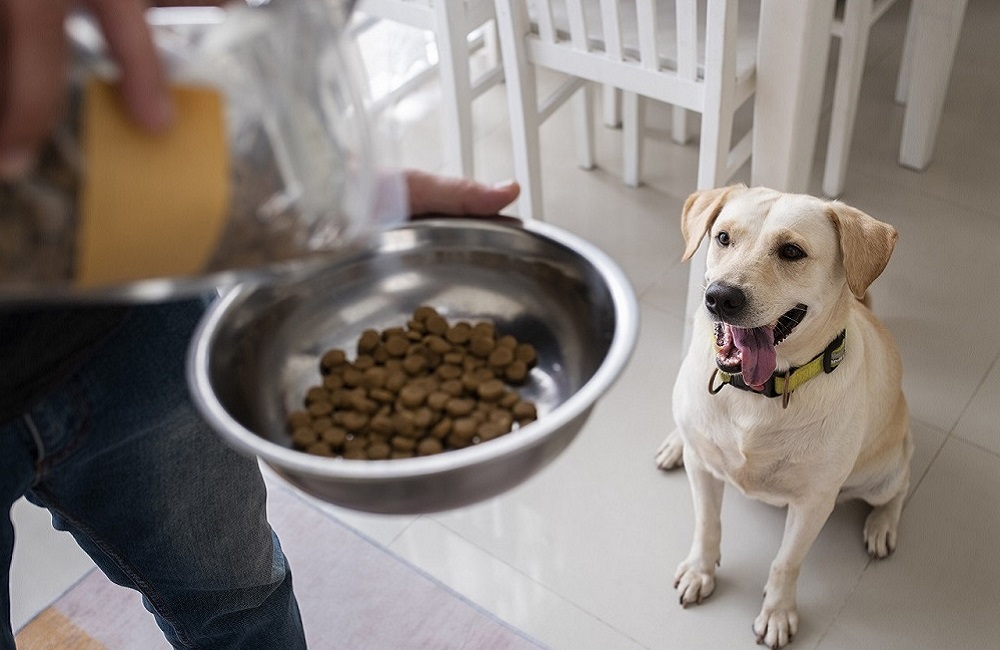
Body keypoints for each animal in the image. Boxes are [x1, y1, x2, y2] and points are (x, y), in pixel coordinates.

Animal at [656, 185, 916, 644]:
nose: (720, 297)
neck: (756, 393)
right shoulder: (702, 471)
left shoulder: (814, 502)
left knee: (898, 488)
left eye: (792, 251)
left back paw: (882, 525)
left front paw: (778, 613)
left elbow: (786, 562)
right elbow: (707, 525)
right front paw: (700, 571)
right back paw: (674, 443)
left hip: (882, 472)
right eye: (723, 237)